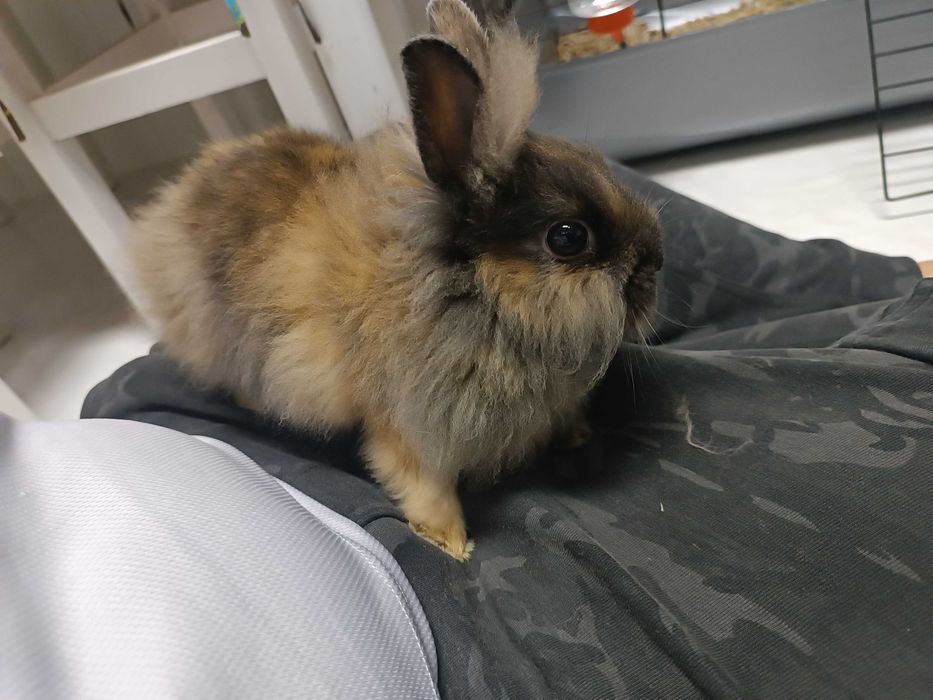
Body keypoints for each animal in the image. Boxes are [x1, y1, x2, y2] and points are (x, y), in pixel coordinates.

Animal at [132, 0, 662, 560]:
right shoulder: (406, 429)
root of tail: (177, 194)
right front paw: (452, 543)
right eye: (568, 237)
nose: (656, 263)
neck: (470, 295)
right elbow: (424, 484)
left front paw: (578, 435)